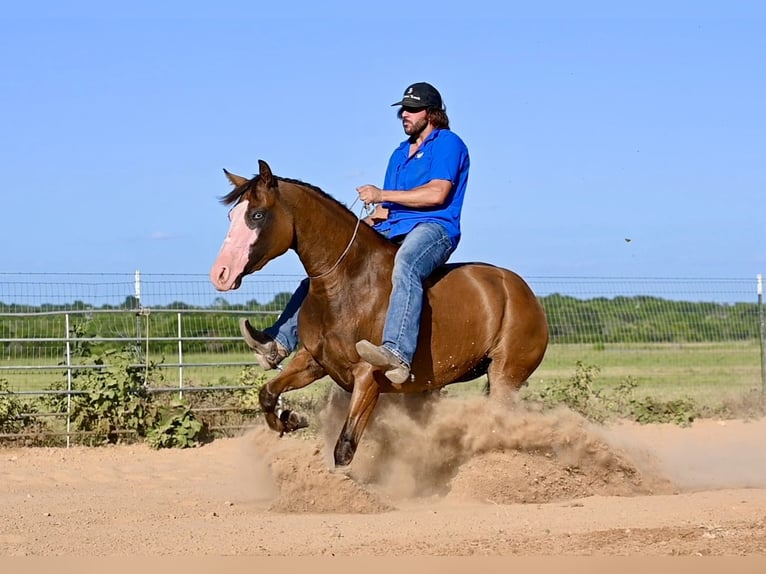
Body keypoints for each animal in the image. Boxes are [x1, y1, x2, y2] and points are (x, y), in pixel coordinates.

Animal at [210, 159, 544, 468]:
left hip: (505, 376)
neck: (348, 282)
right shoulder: (316, 361)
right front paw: (290, 419)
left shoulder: (367, 378)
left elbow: (344, 449)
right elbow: (267, 394)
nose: (221, 274)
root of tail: (523, 292)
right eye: (231, 216)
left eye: (257, 215)